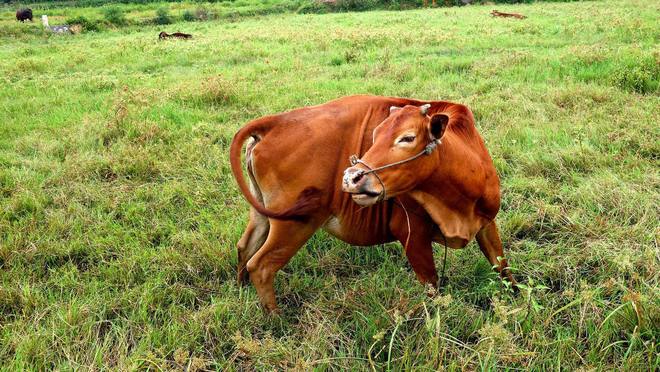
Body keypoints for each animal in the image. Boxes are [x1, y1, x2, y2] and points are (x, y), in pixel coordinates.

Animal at [231, 95, 516, 310]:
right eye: (376, 134)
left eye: (407, 137)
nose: (352, 177)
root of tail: (275, 121)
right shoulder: (411, 234)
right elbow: (432, 288)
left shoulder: (487, 223)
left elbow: (502, 265)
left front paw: (516, 300)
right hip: (294, 224)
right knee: (261, 266)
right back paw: (275, 318)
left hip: (263, 214)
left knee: (245, 248)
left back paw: (242, 289)